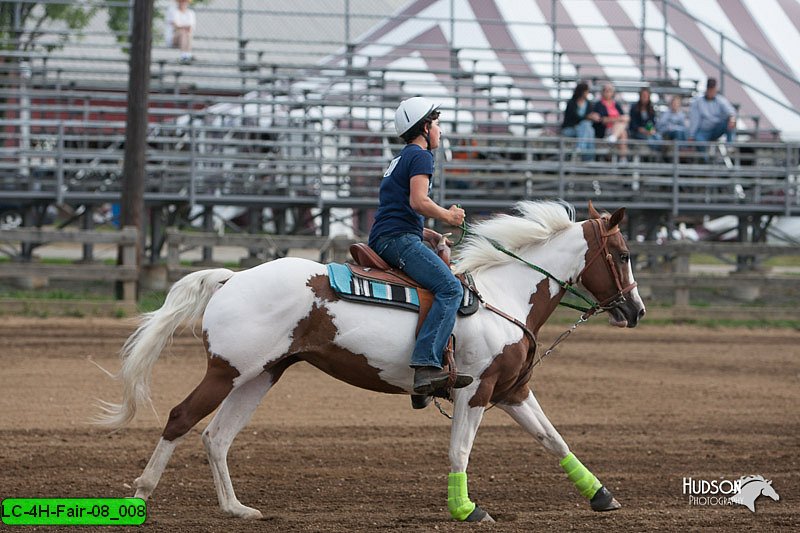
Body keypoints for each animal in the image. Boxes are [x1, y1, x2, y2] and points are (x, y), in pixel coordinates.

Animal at [97, 198, 648, 520]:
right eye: (622, 254)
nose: (636, 310)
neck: (502, 296)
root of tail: (234, 277)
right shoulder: (475, 393)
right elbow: (459, 451)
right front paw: (467, 509)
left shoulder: (512, 391)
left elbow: (554, 440)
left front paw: (601, 495)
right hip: (226, 371)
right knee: (180, 418)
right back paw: (139, 495)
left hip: (262, 375)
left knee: (216, 436)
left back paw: (236, 509)